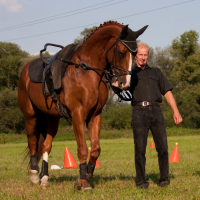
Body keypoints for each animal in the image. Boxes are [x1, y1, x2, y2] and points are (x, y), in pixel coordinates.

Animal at [18, 21, 148, 191]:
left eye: (135, 54)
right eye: (120, 52)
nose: (124, 84)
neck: (87, 71)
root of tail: (26, 68)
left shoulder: (95, 115)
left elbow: (95, 149)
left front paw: (84, 176)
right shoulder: (78, 114)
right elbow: (82, 149)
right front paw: (84, 182)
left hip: (52, 118)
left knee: (46, 145)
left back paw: (44, 179)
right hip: (30, 115)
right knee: (33, 142)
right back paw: (34, 176)